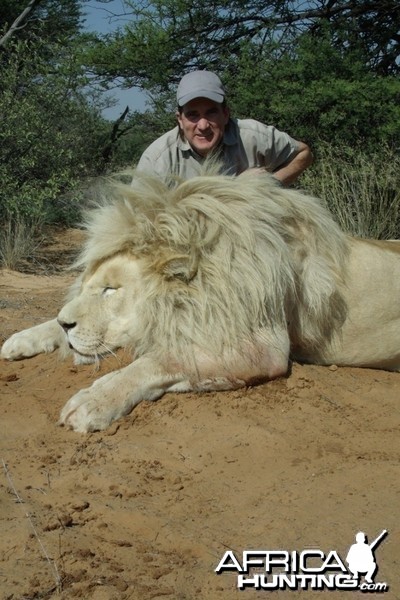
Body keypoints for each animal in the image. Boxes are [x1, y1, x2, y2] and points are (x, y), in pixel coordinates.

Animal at [0, 170, 400, 432]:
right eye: (87, 286)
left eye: (111, 290)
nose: (67, 323)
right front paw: (22, 339)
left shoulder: (259, 345)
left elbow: (160, 360)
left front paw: (93, 402)